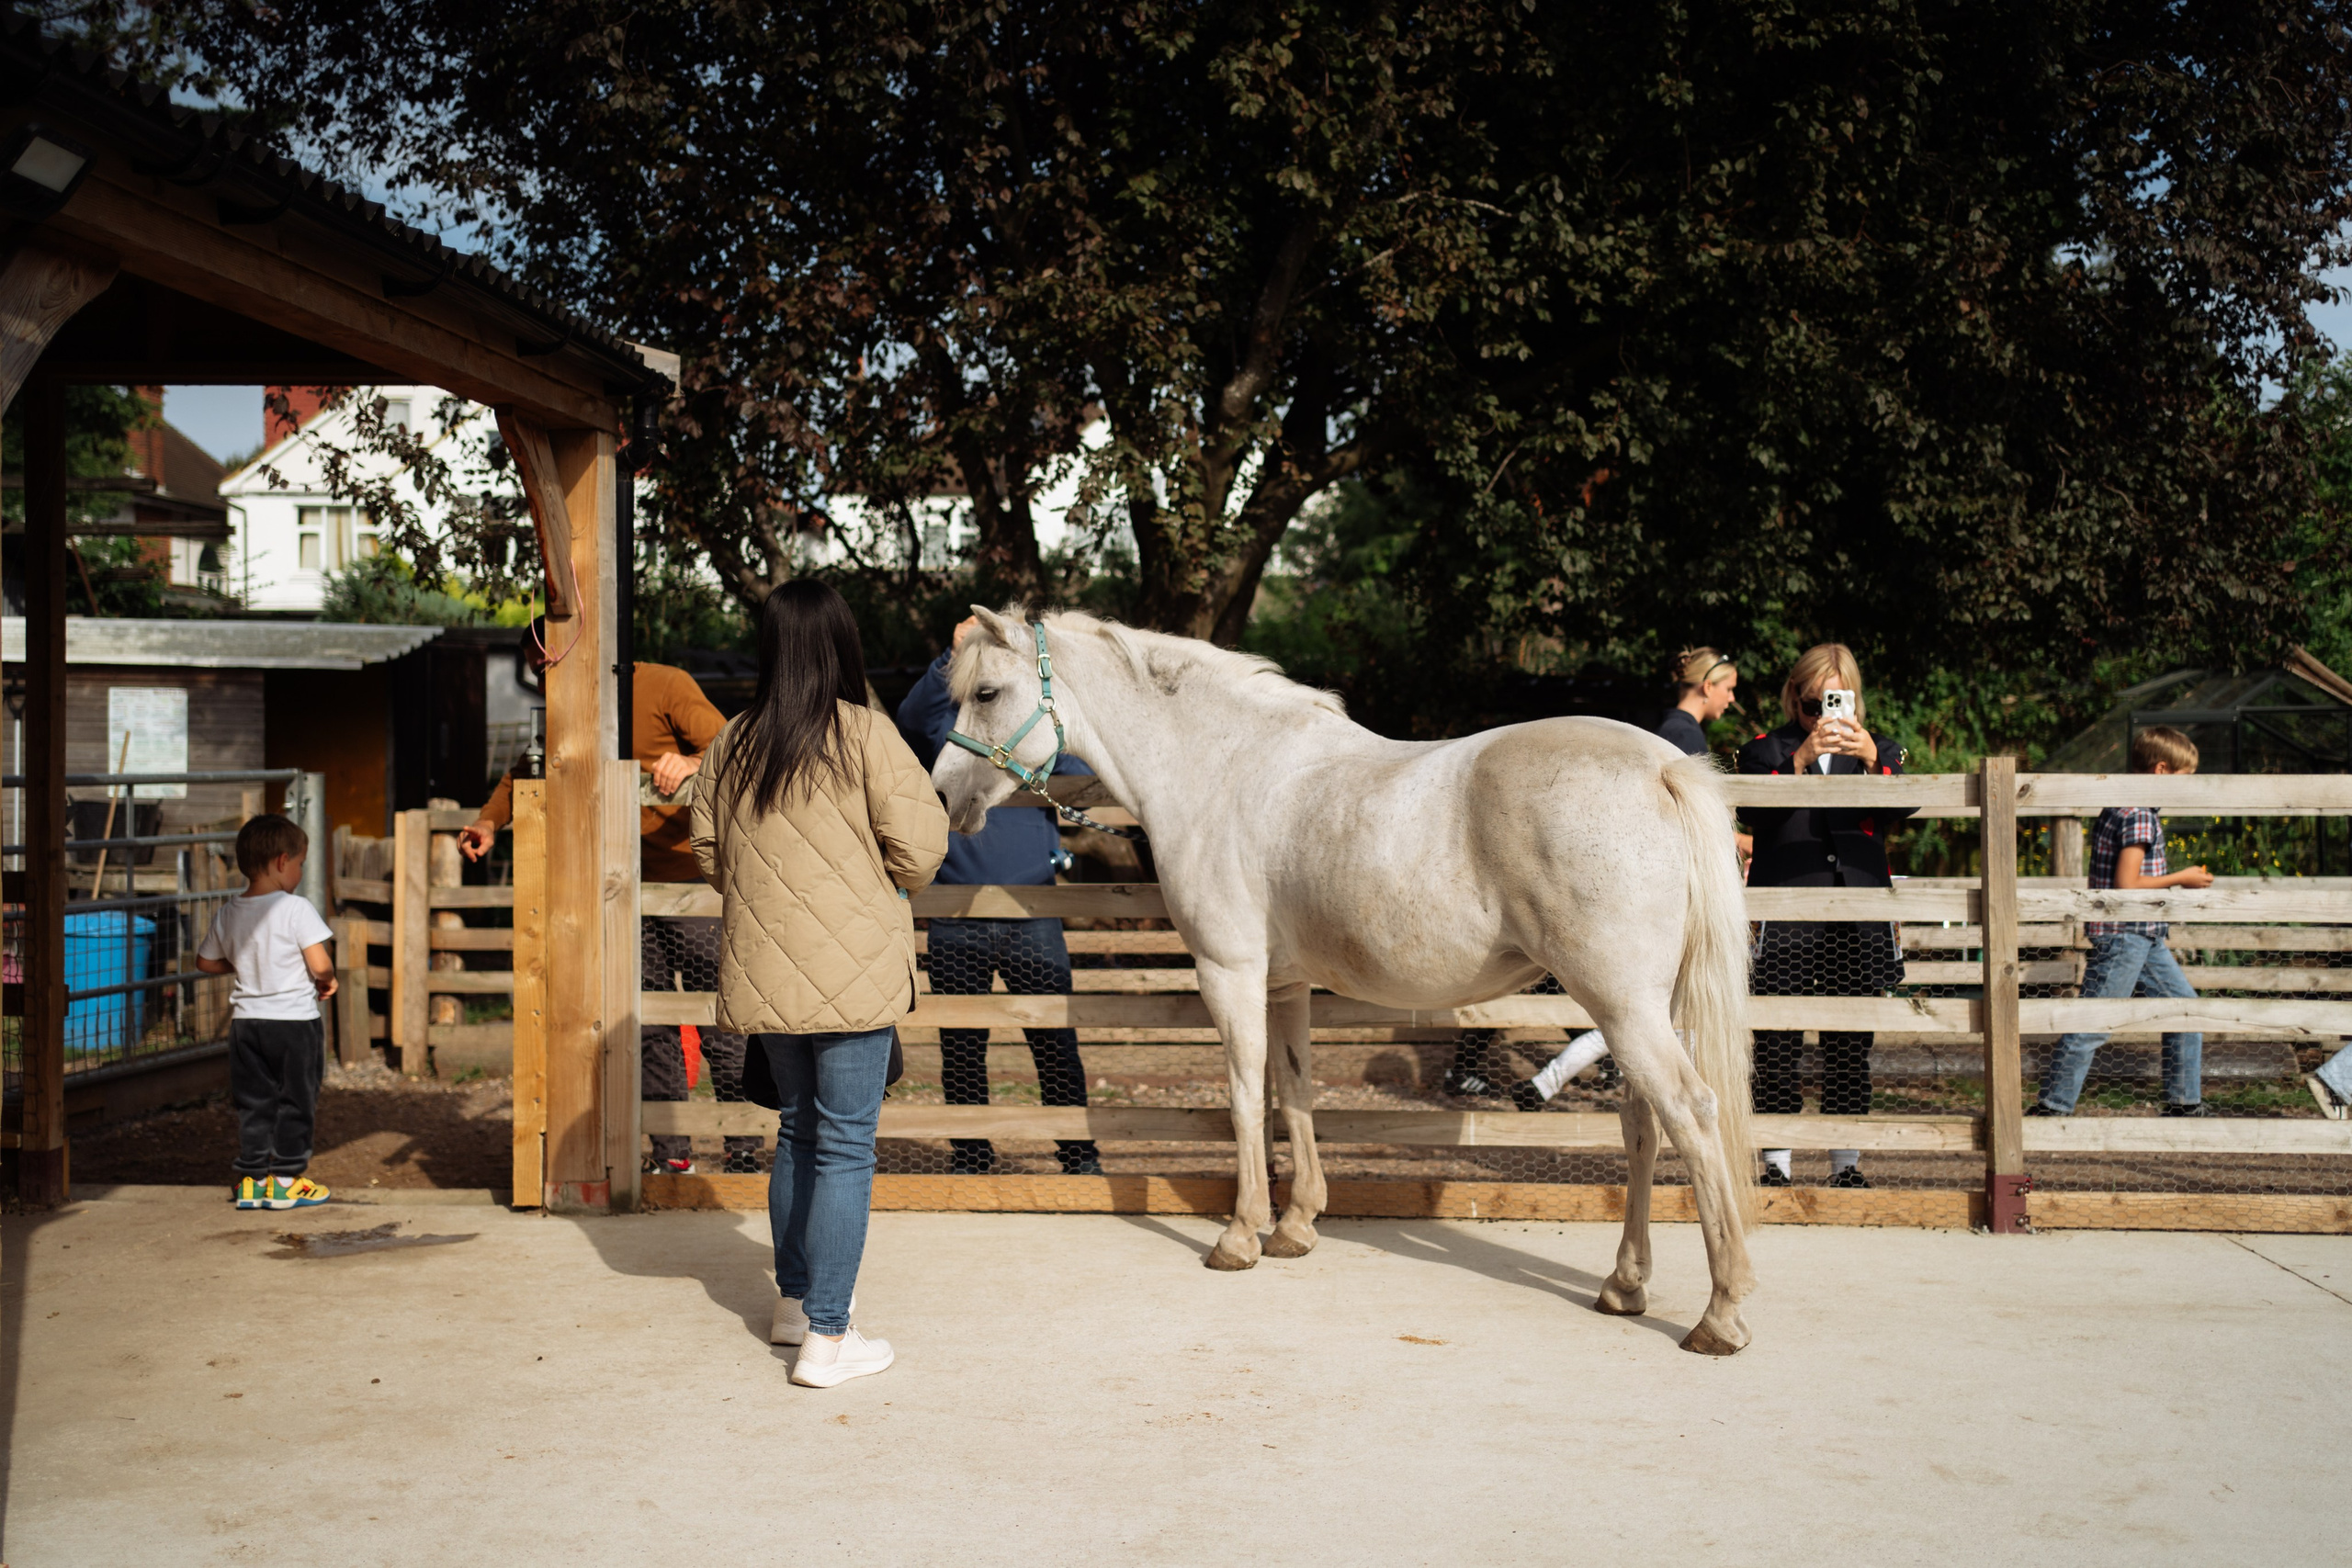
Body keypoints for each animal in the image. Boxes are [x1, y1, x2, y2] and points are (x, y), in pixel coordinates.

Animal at [930, 607, 1760, 1354]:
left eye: (988, 691)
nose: (942, 793)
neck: (1222, 767)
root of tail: (1662, 767)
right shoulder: (1284, 985)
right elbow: (1294, 1092)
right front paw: (1297, 1225)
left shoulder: (1230, 973)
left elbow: (1245, 1098)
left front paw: (1240, 1235)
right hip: (1641, 1010)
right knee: (1642, 1122)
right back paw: (1624, 1284)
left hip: (1621, 1006)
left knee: (1689, 1113)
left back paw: (1720, 1316)